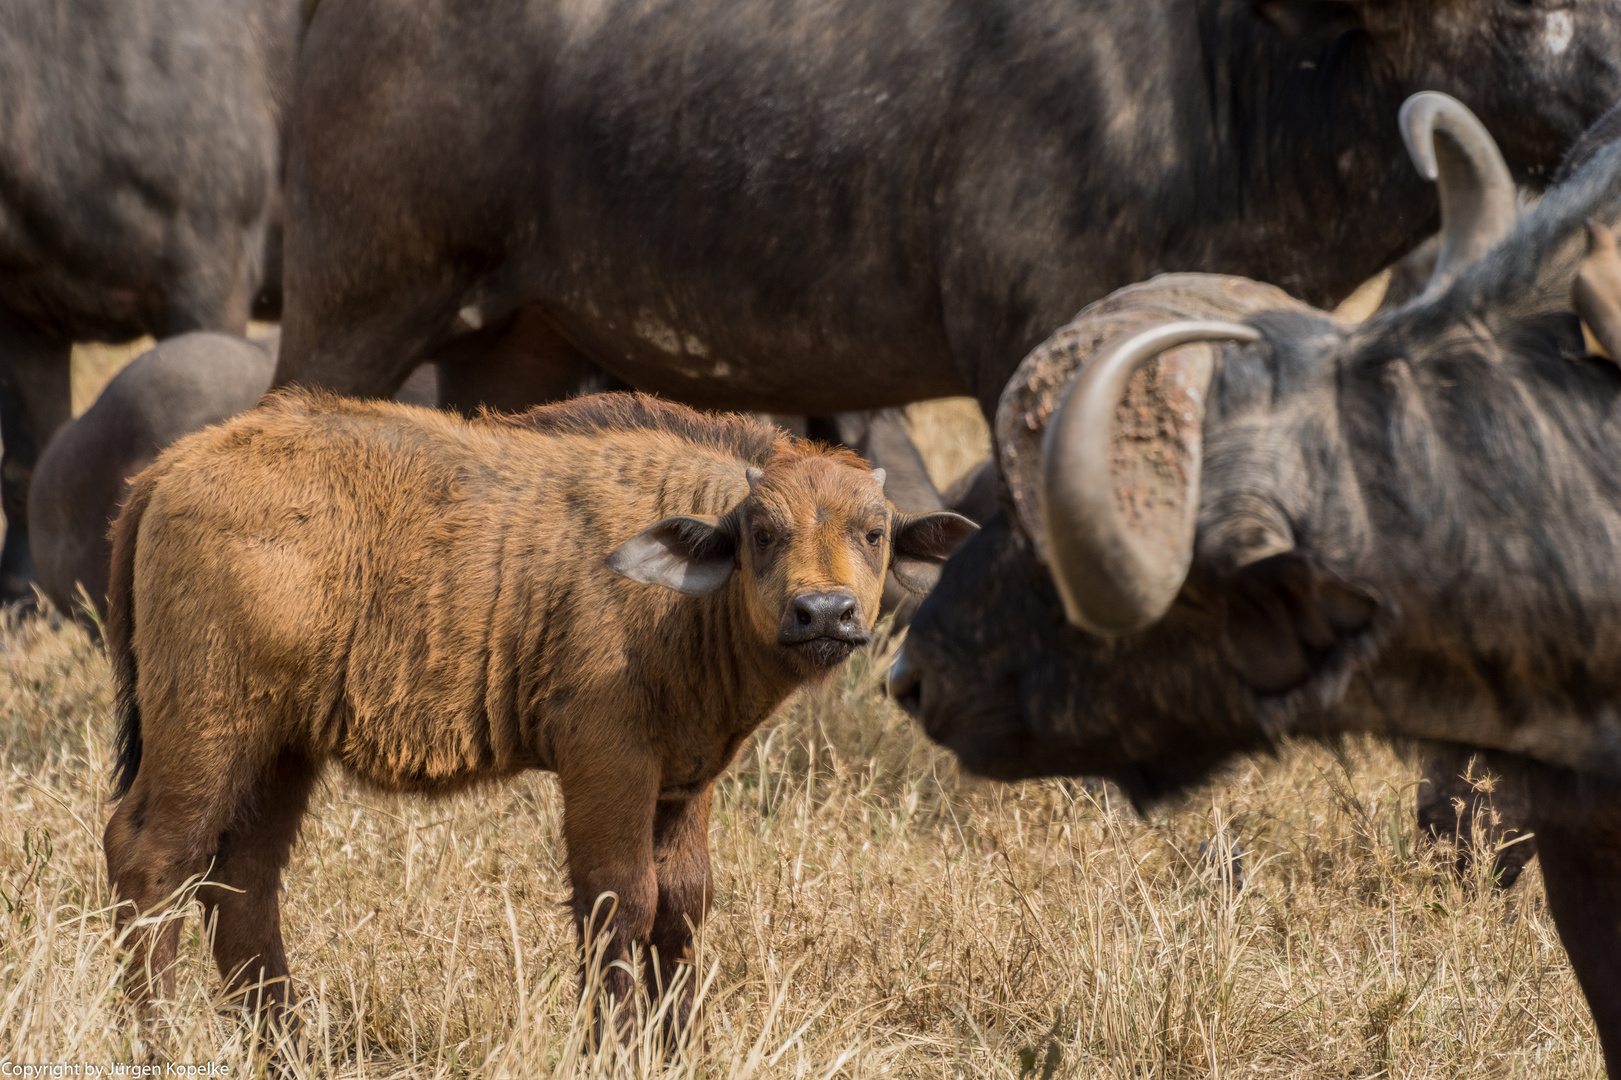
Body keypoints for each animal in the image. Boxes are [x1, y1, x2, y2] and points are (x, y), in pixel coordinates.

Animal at [104, 389, 972, 1024]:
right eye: (761, 532)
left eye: (873, 532)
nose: (824, 612)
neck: (679, 594)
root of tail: (171, 469)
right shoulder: (606, 764)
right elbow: (619, 901)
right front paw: (615, 1044)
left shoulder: (682, 781)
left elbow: (682, 908)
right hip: (207, 730)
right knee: (151, 856)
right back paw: (158, 1034)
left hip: (280, 750)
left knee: (243, 883)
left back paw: (284, 1040)